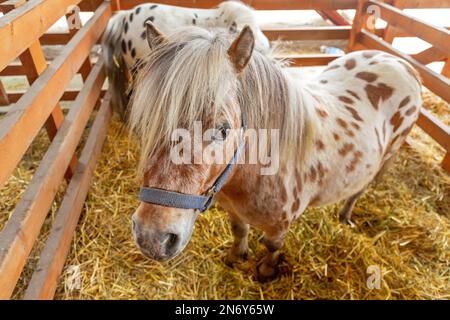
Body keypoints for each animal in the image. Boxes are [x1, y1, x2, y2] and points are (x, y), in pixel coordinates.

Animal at [127, 23, 422, 280]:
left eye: (223, 130)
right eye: (146, 123)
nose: (153, 238)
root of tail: (399, 61)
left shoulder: (281, 225)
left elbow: (272, 246)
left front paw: (266, 272)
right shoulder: (233, 209)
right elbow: (238, 230)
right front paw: (236, 256)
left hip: (387, 154)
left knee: (359, 190)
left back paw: (345, 215)